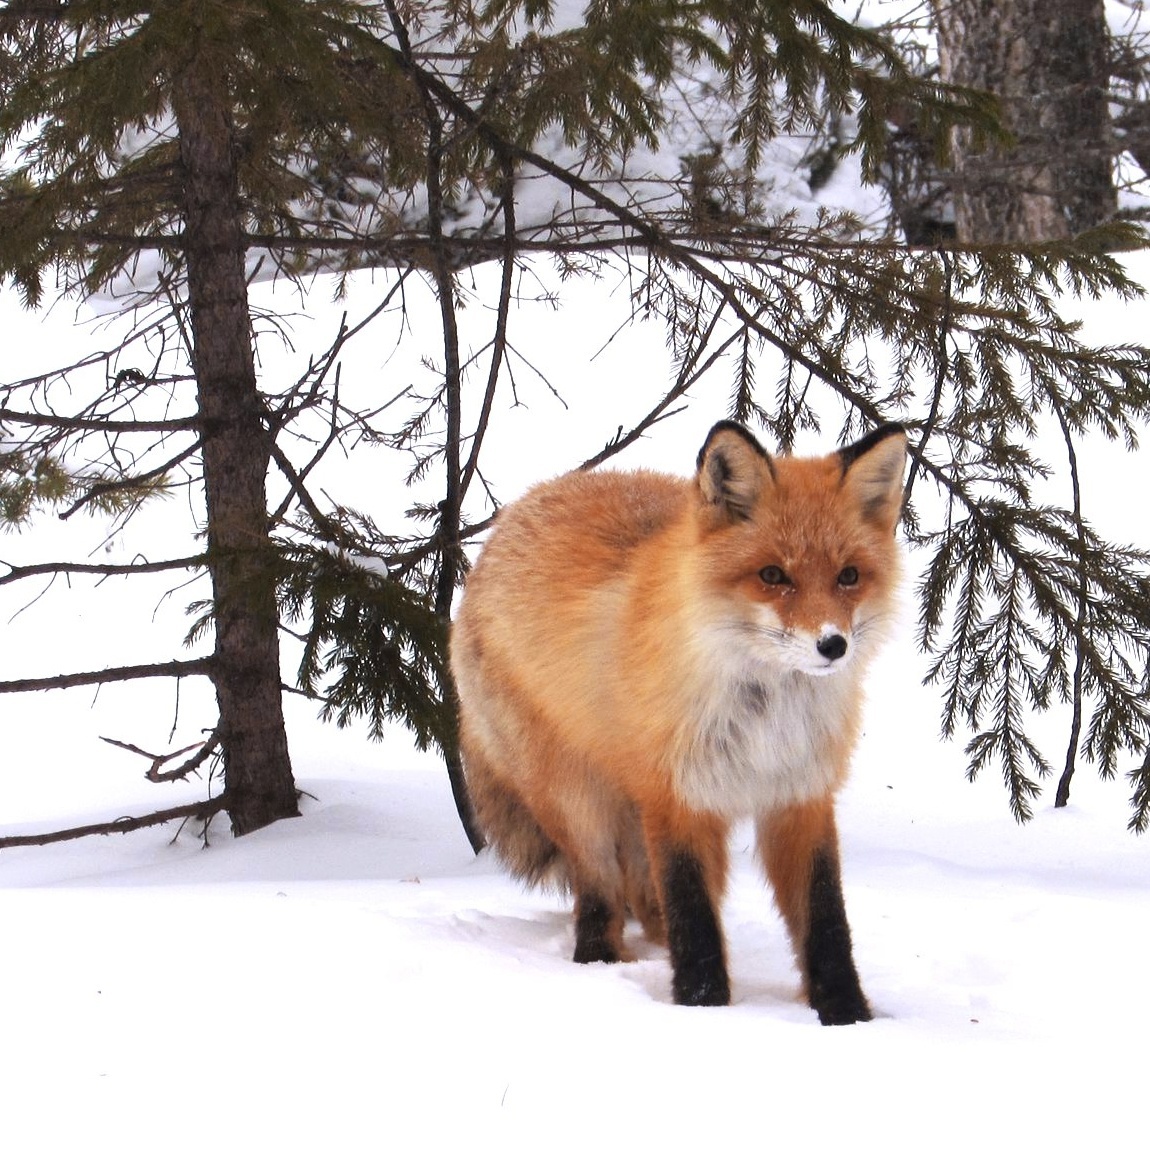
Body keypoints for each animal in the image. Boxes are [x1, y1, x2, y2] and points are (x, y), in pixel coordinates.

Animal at [448, 425, 906, 1025]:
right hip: (579, 802)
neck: (764, 717)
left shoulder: (800, 795)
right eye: (773, 576)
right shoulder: (677, 797)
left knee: (647, 899)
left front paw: (847, 1015)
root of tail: (514, 514)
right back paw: (600, 960)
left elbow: (825, 921)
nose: (833, 644)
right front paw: (701, 1008)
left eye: (848, 576)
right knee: (602, 896)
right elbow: (695, 916)